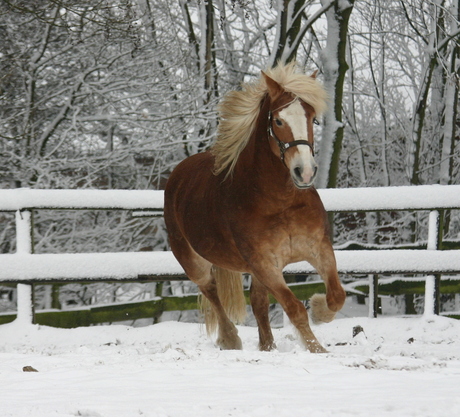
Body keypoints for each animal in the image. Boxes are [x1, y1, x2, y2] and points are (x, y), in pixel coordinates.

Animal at [164, 61, 344, 352]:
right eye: (278, 120)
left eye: (312, 119)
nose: (305, 172)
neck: (280, 202)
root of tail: (178, 175)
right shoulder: (264, 264)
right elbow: (294, 309)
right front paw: (317, 349)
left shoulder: (319, 248)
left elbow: (337, 295)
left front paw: (319, 311)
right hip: (194, 262)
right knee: (211, 290)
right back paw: (230, 338)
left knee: (258, 303)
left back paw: (267, 346)